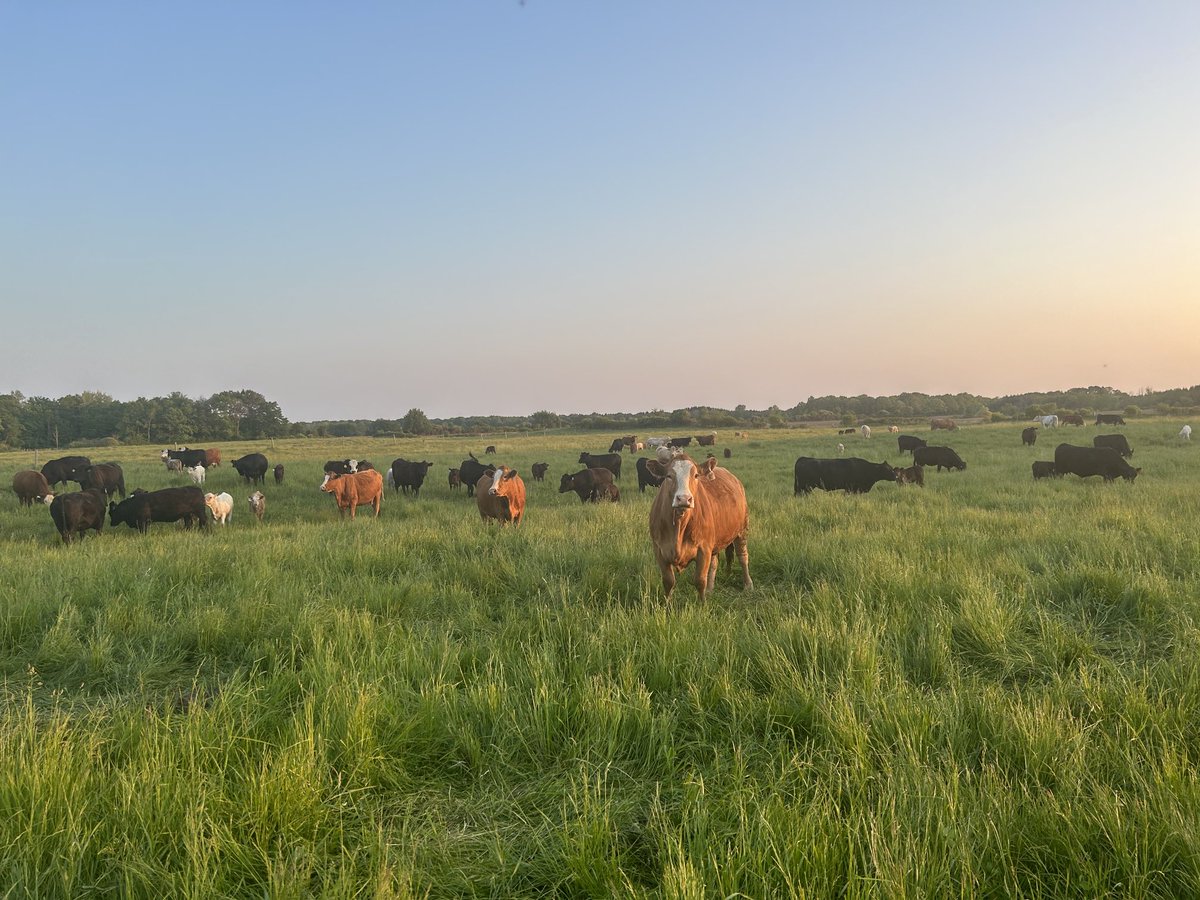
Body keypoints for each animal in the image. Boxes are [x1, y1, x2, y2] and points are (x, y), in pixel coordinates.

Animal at [646, 447, 751, 601]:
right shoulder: (659, 550)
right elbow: (668, 581)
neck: (679, 526)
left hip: (742, 530)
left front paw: (702, 604)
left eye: (695, 475)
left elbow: (700, 580)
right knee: (714, 563)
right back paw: (710, 588)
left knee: (743, 557)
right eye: (668, 476)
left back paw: (748, 585)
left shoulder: (704, 549)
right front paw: (667, 604)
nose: (684, 499)